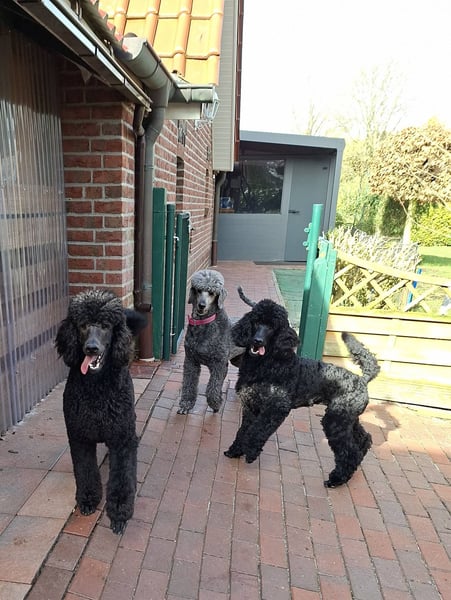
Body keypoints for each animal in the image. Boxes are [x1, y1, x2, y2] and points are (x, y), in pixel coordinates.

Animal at [55, 290, 147, 534]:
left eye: (106, 326)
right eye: (83, 325)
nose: (91, 348)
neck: (97, 388)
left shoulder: (122, 439)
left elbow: (123, 477)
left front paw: (120, 513)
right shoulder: (80, 438)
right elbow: (85, 471)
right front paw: (88, 499)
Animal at [224, 295, 380, 487]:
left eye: (273, 326)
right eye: (256, 321)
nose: (257, 341)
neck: (266, 365)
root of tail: (362, 379)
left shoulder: (276, 408)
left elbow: (257, 430)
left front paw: (251, 451)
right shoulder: (250, 407)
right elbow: (243, 430)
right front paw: (235, 450)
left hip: (335, 421)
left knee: (349, 451)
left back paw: (337, 479)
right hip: (347, 418)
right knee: (364, 439)